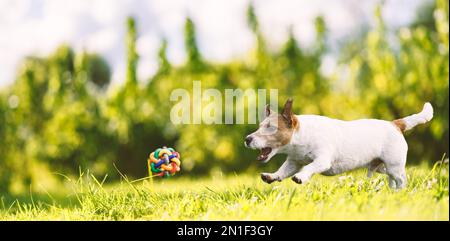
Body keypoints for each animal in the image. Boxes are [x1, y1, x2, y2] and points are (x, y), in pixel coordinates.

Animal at [244, 98, 434, 188]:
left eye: (270, 127)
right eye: (259, 126)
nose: (247, 139)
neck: (302, 135)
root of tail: (395, 124)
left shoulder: (322, 160)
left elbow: (309, 167)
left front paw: (301, 177)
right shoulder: (293, 162)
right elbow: (283, 171)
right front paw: (272, 176)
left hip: (394, 165)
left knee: (401, 179)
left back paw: (400, 192)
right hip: (383, 166)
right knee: (391, 177)